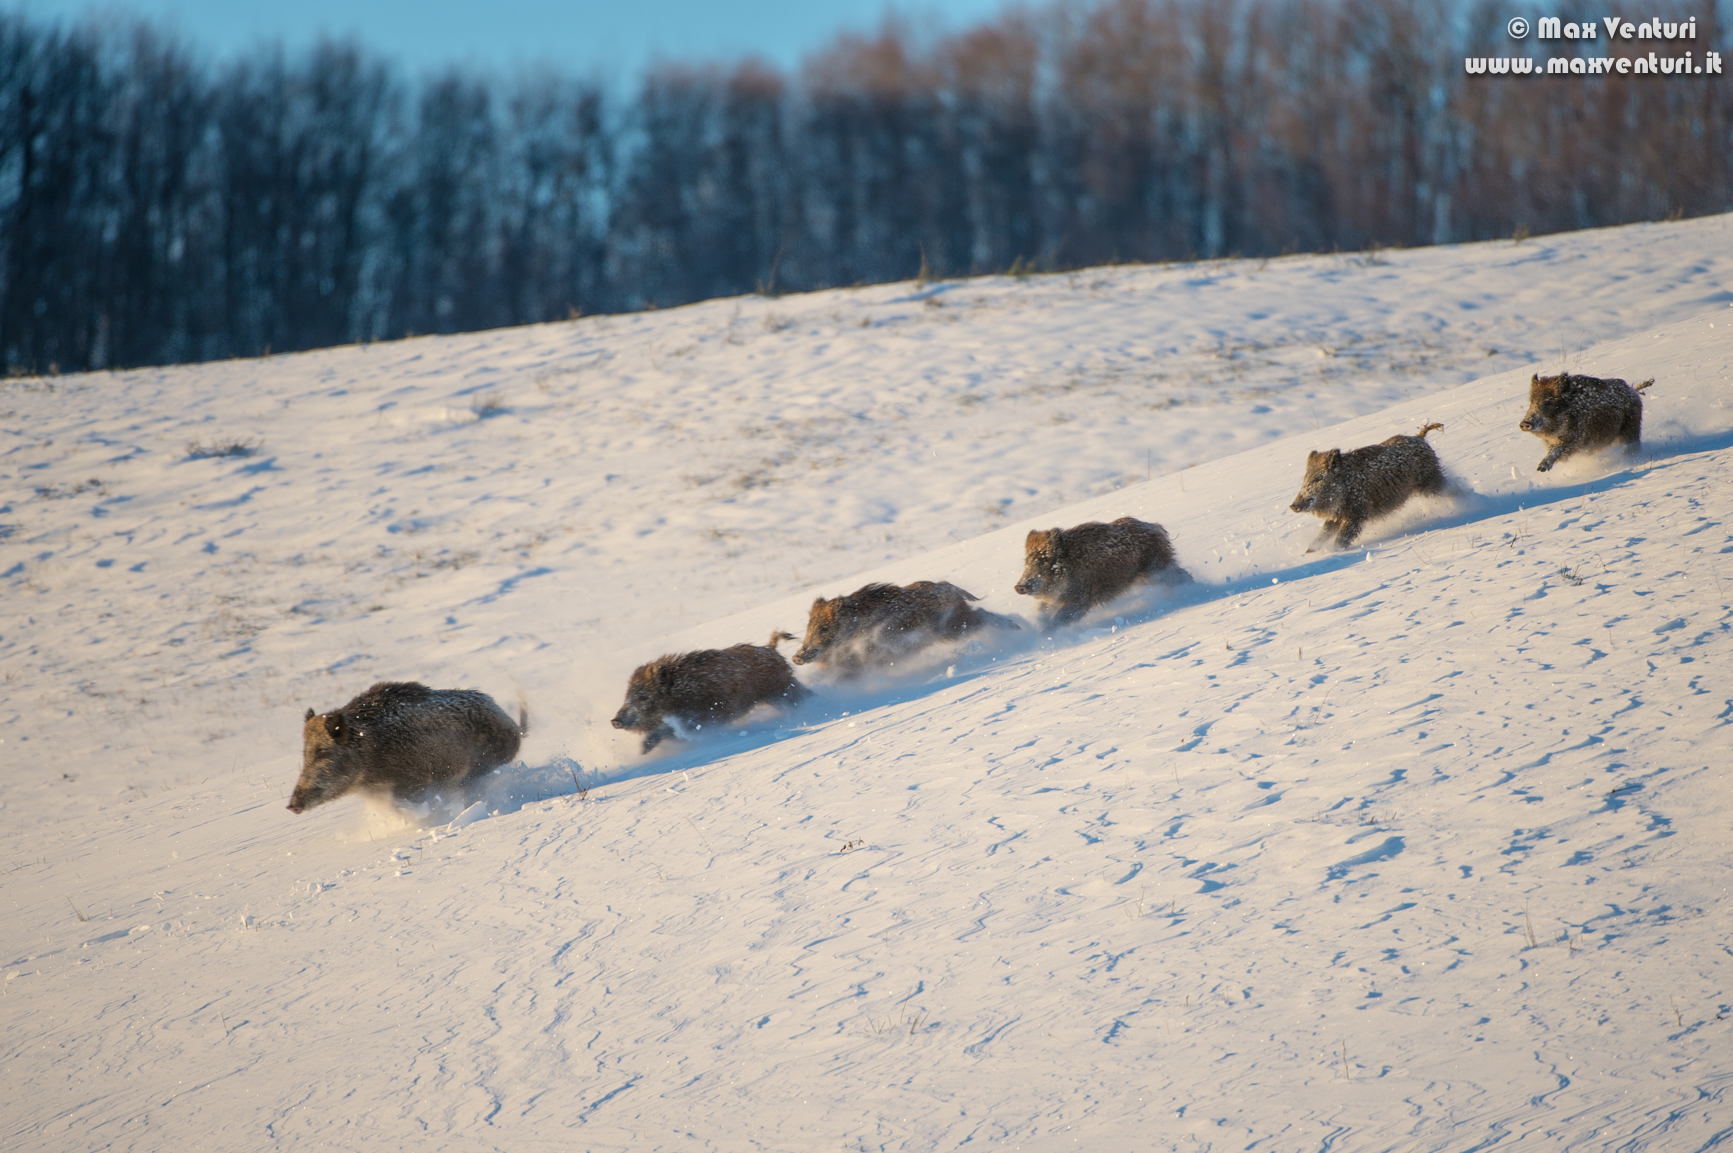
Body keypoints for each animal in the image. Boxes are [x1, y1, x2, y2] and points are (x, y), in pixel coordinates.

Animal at [611, 631, 809, 753]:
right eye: (627, 696)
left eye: (643, 696)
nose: (615, 721)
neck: (676, 691)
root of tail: (771, 649)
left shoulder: (697, 719)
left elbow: (668, 729)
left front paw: (644, 749)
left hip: (782, 691)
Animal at [790, 580, 1020, 674]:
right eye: (808, 627)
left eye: (823, 628)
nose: (796, 657)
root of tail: (948, 587)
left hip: (957, 626)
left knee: (984, 615)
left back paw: (1018, 627)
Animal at [1013, 516, 1190, 626]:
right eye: (1027, 561)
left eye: (1044, 559)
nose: (1019, 586)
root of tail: (1155, 527)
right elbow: (1043, 613)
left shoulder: (1079, 601)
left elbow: (1056, 621)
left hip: (1158, 568)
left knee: (1183, 576)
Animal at [1289, 422, 1446, 552]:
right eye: (1305, 478)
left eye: (1319, 478)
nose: (1293, 506)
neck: (1347, 484)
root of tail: (1420, 438)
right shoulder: (1338, 516)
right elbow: (1323, 534)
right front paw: (1309, 552)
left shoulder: (1357, 512)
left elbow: (1341, 539)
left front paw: (1333, 552)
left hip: (1430, 481)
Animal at [1519, 373, 1652, 471]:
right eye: (1532, 402)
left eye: (1548, 402)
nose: (1524, 424)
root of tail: (1632, 390)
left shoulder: (1575, 439)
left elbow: (1558, 451)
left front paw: (1541, 468)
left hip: (1630, 429)